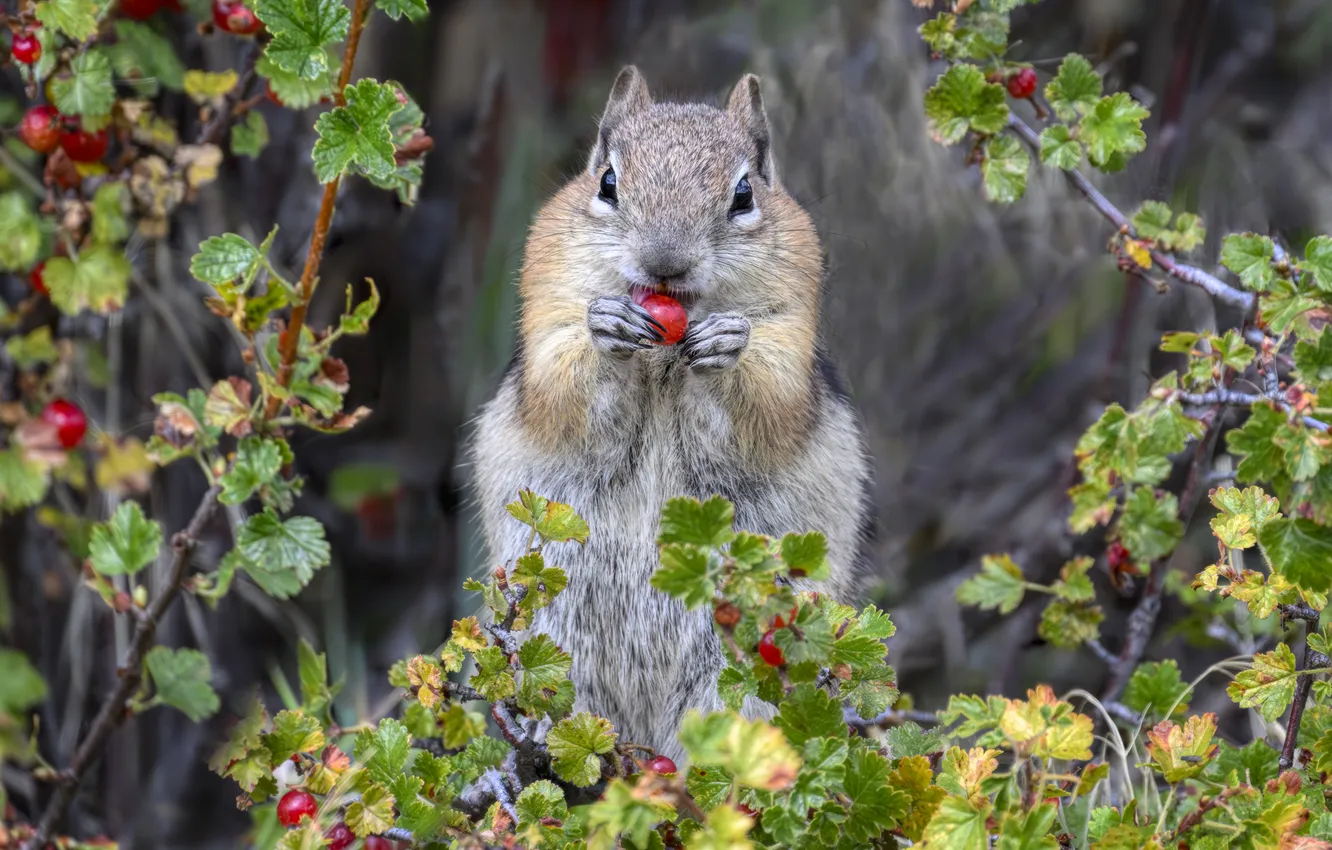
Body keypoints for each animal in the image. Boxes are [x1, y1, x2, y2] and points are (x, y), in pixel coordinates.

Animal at [469, 66, 874, 763]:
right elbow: (564, 386)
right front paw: (607, 328)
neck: (662, 368)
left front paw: (726, 345)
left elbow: (765, 398)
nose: (664, 262)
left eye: (744, 194)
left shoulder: (789, 342)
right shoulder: (548, 322)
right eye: (607, 183)